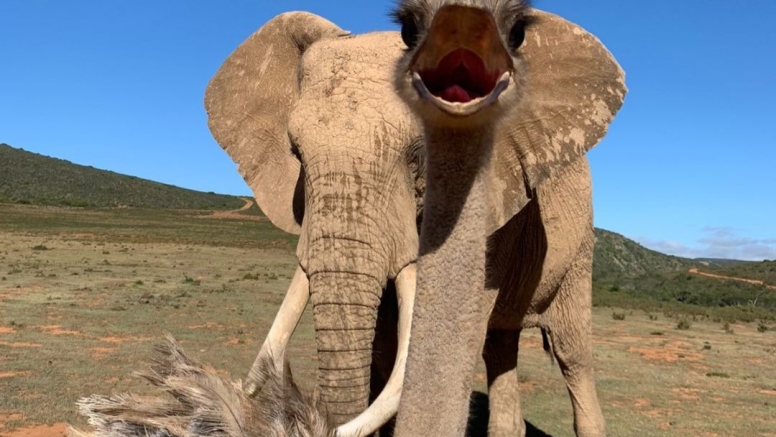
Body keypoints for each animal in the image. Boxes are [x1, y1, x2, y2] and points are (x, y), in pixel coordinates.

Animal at [388, 0, 632, 436]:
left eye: (517, 31)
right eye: (407, 28)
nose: (461, 21)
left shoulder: (506, 218)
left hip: (579, 253)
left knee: (571, 352)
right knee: (500, 344)